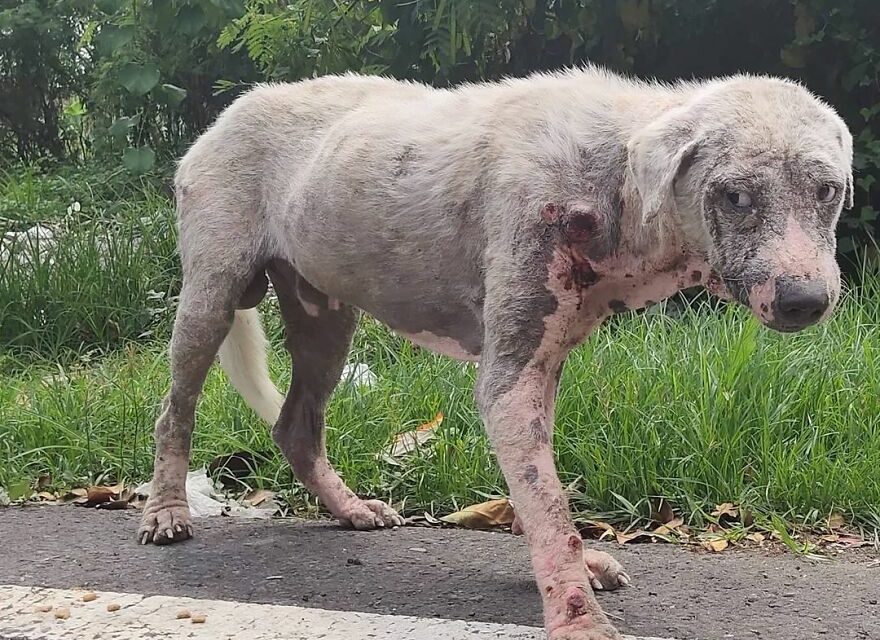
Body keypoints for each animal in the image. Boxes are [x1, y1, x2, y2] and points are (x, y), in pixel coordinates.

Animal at [139, 66, 852, 640]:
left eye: (829, 190)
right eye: (735, 195)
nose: (806, 301)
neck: (613, 182)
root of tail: (223, 118)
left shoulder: (543, 365)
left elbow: (541, 496)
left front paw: (576, 565)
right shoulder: (512, 379)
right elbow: (550, 508)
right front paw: (577, 617)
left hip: (325, 319)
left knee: (295, 425)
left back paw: (348, 508)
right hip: (210, 297)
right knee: (175, 409)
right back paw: (167, 511)